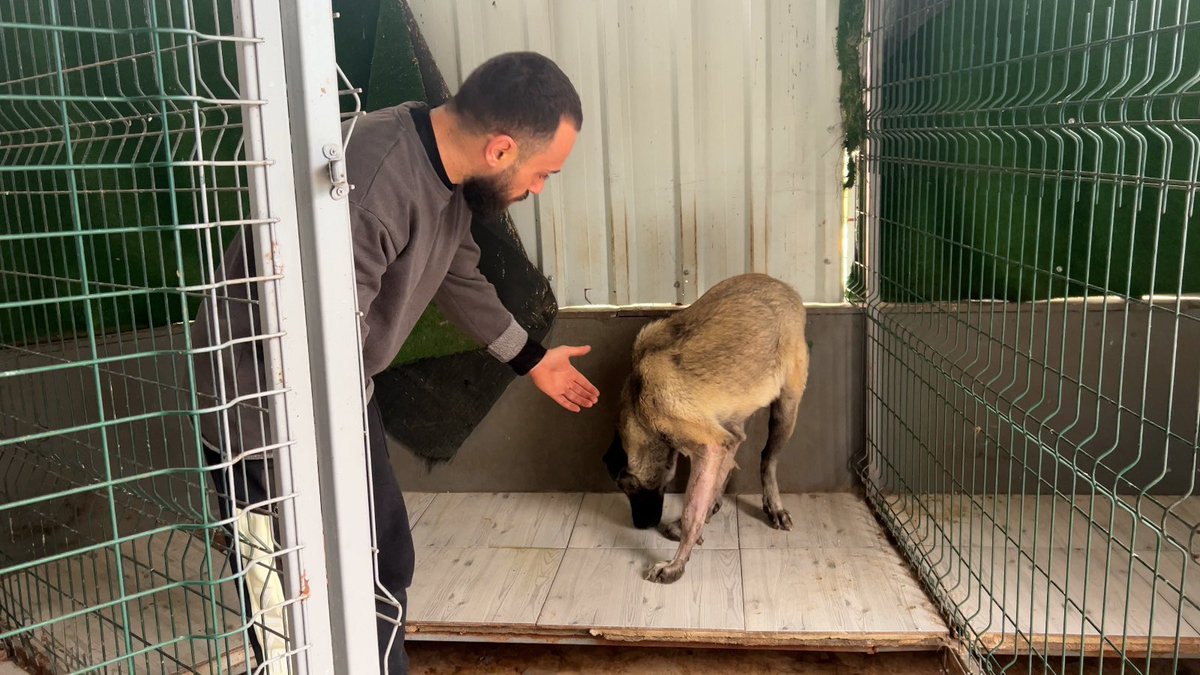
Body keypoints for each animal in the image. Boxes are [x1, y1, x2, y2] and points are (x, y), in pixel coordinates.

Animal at [604, 270, 811, 581]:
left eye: (625, 486)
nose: (640, 526)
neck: (638, 400)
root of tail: (785, 288)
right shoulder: (722, 438)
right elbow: (709, 485)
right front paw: (700, 517)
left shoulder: (708, 444)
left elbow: (692, 510)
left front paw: (676, 562)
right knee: (735, 454)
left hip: (786, 408)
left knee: (768, 459)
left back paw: (773, 505)